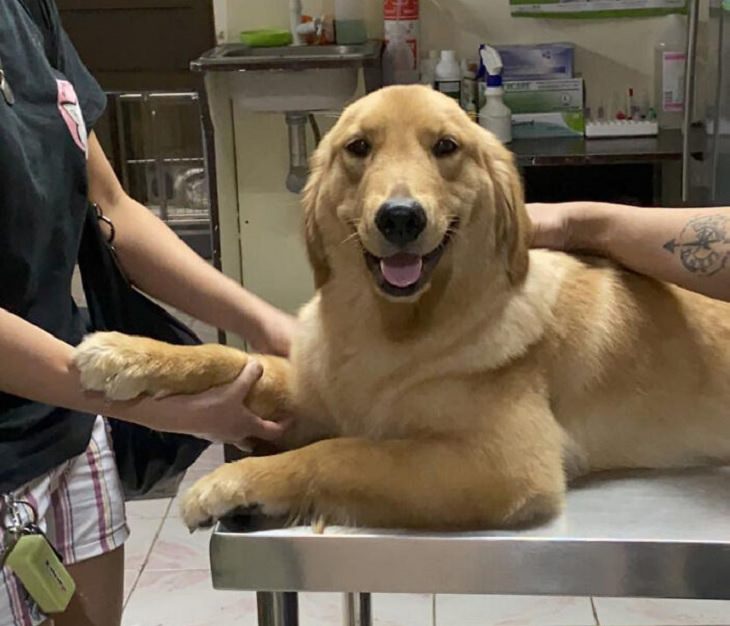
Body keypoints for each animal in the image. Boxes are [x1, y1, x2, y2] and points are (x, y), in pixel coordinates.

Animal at [71, 85, 728, 528]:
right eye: (358, 148)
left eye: (446, 147)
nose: (401, 218)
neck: (389, 329)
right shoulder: (317, 389)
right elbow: (228, 358)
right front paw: (125, 354)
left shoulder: (508, 464)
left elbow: (340, 452)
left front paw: (235, 479)